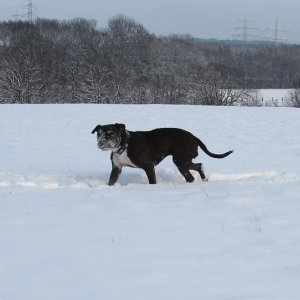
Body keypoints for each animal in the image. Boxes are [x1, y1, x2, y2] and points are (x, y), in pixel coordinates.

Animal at [92, 123, 234, 185]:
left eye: (110, 133)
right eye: (99, 134)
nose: (101, 142)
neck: (123, 145)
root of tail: (194, 137)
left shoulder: (149, 166)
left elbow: (152, 181)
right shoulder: (116, 168)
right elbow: (111, 181)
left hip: (180, 160)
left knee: (196, 169)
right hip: (182, 162)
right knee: (194, 172)